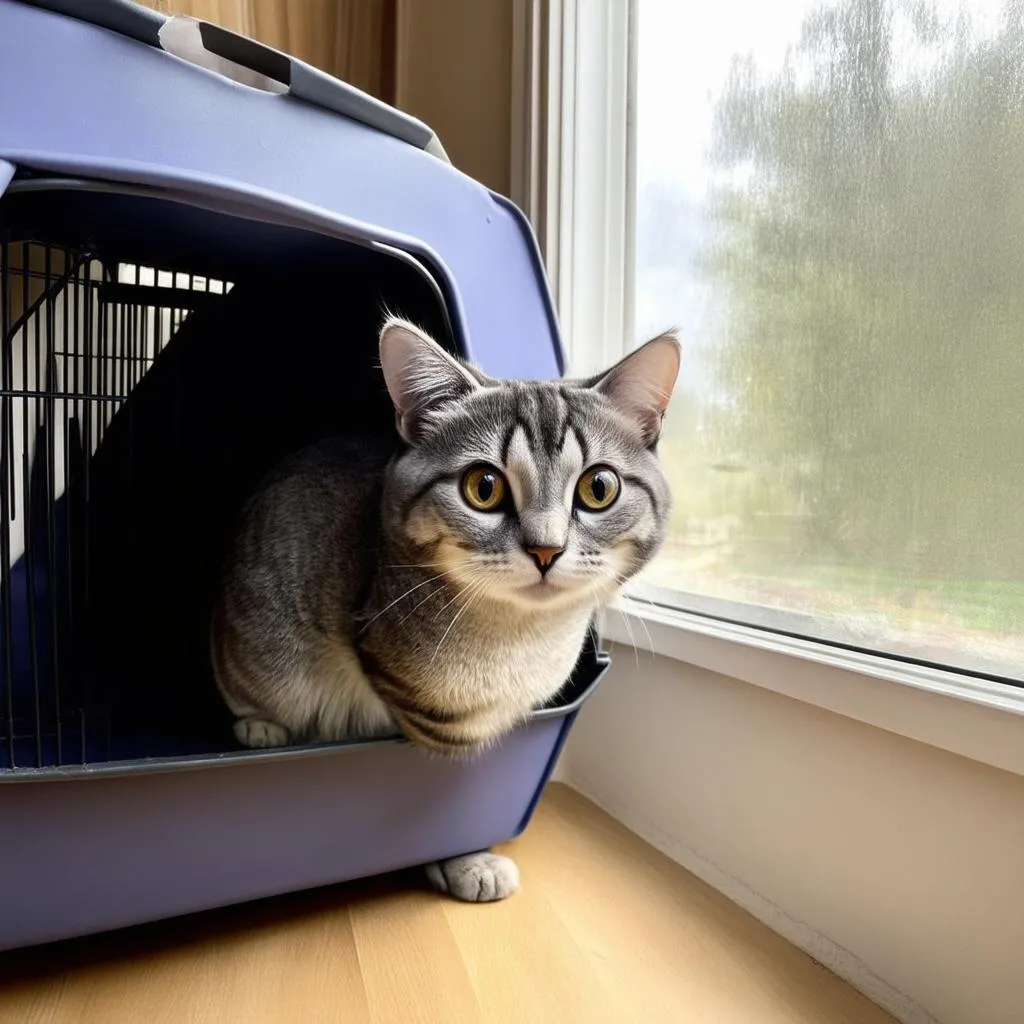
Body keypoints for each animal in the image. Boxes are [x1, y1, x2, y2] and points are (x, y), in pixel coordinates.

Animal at [209, 317, 679, 905]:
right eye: (484, 487)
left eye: (599, 487)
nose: (546, 550)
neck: (521, 640)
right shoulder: (414, 703)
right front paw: (459, 856)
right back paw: (259, 727)